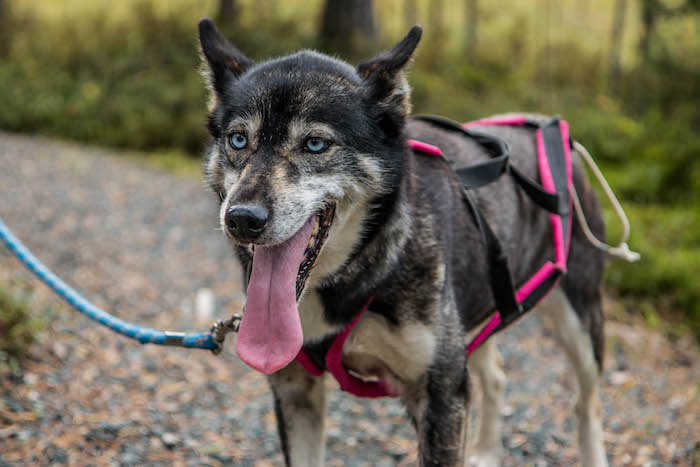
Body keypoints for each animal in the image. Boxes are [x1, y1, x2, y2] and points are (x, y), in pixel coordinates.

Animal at [197, 18, 608, 467]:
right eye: (238, 139)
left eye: (315, 144)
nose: (242, 219)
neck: (352, 278)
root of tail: (549, 127)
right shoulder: (295, 390)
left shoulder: (440, 396)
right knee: (496, 376)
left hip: (580, 323)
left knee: (587, 403)